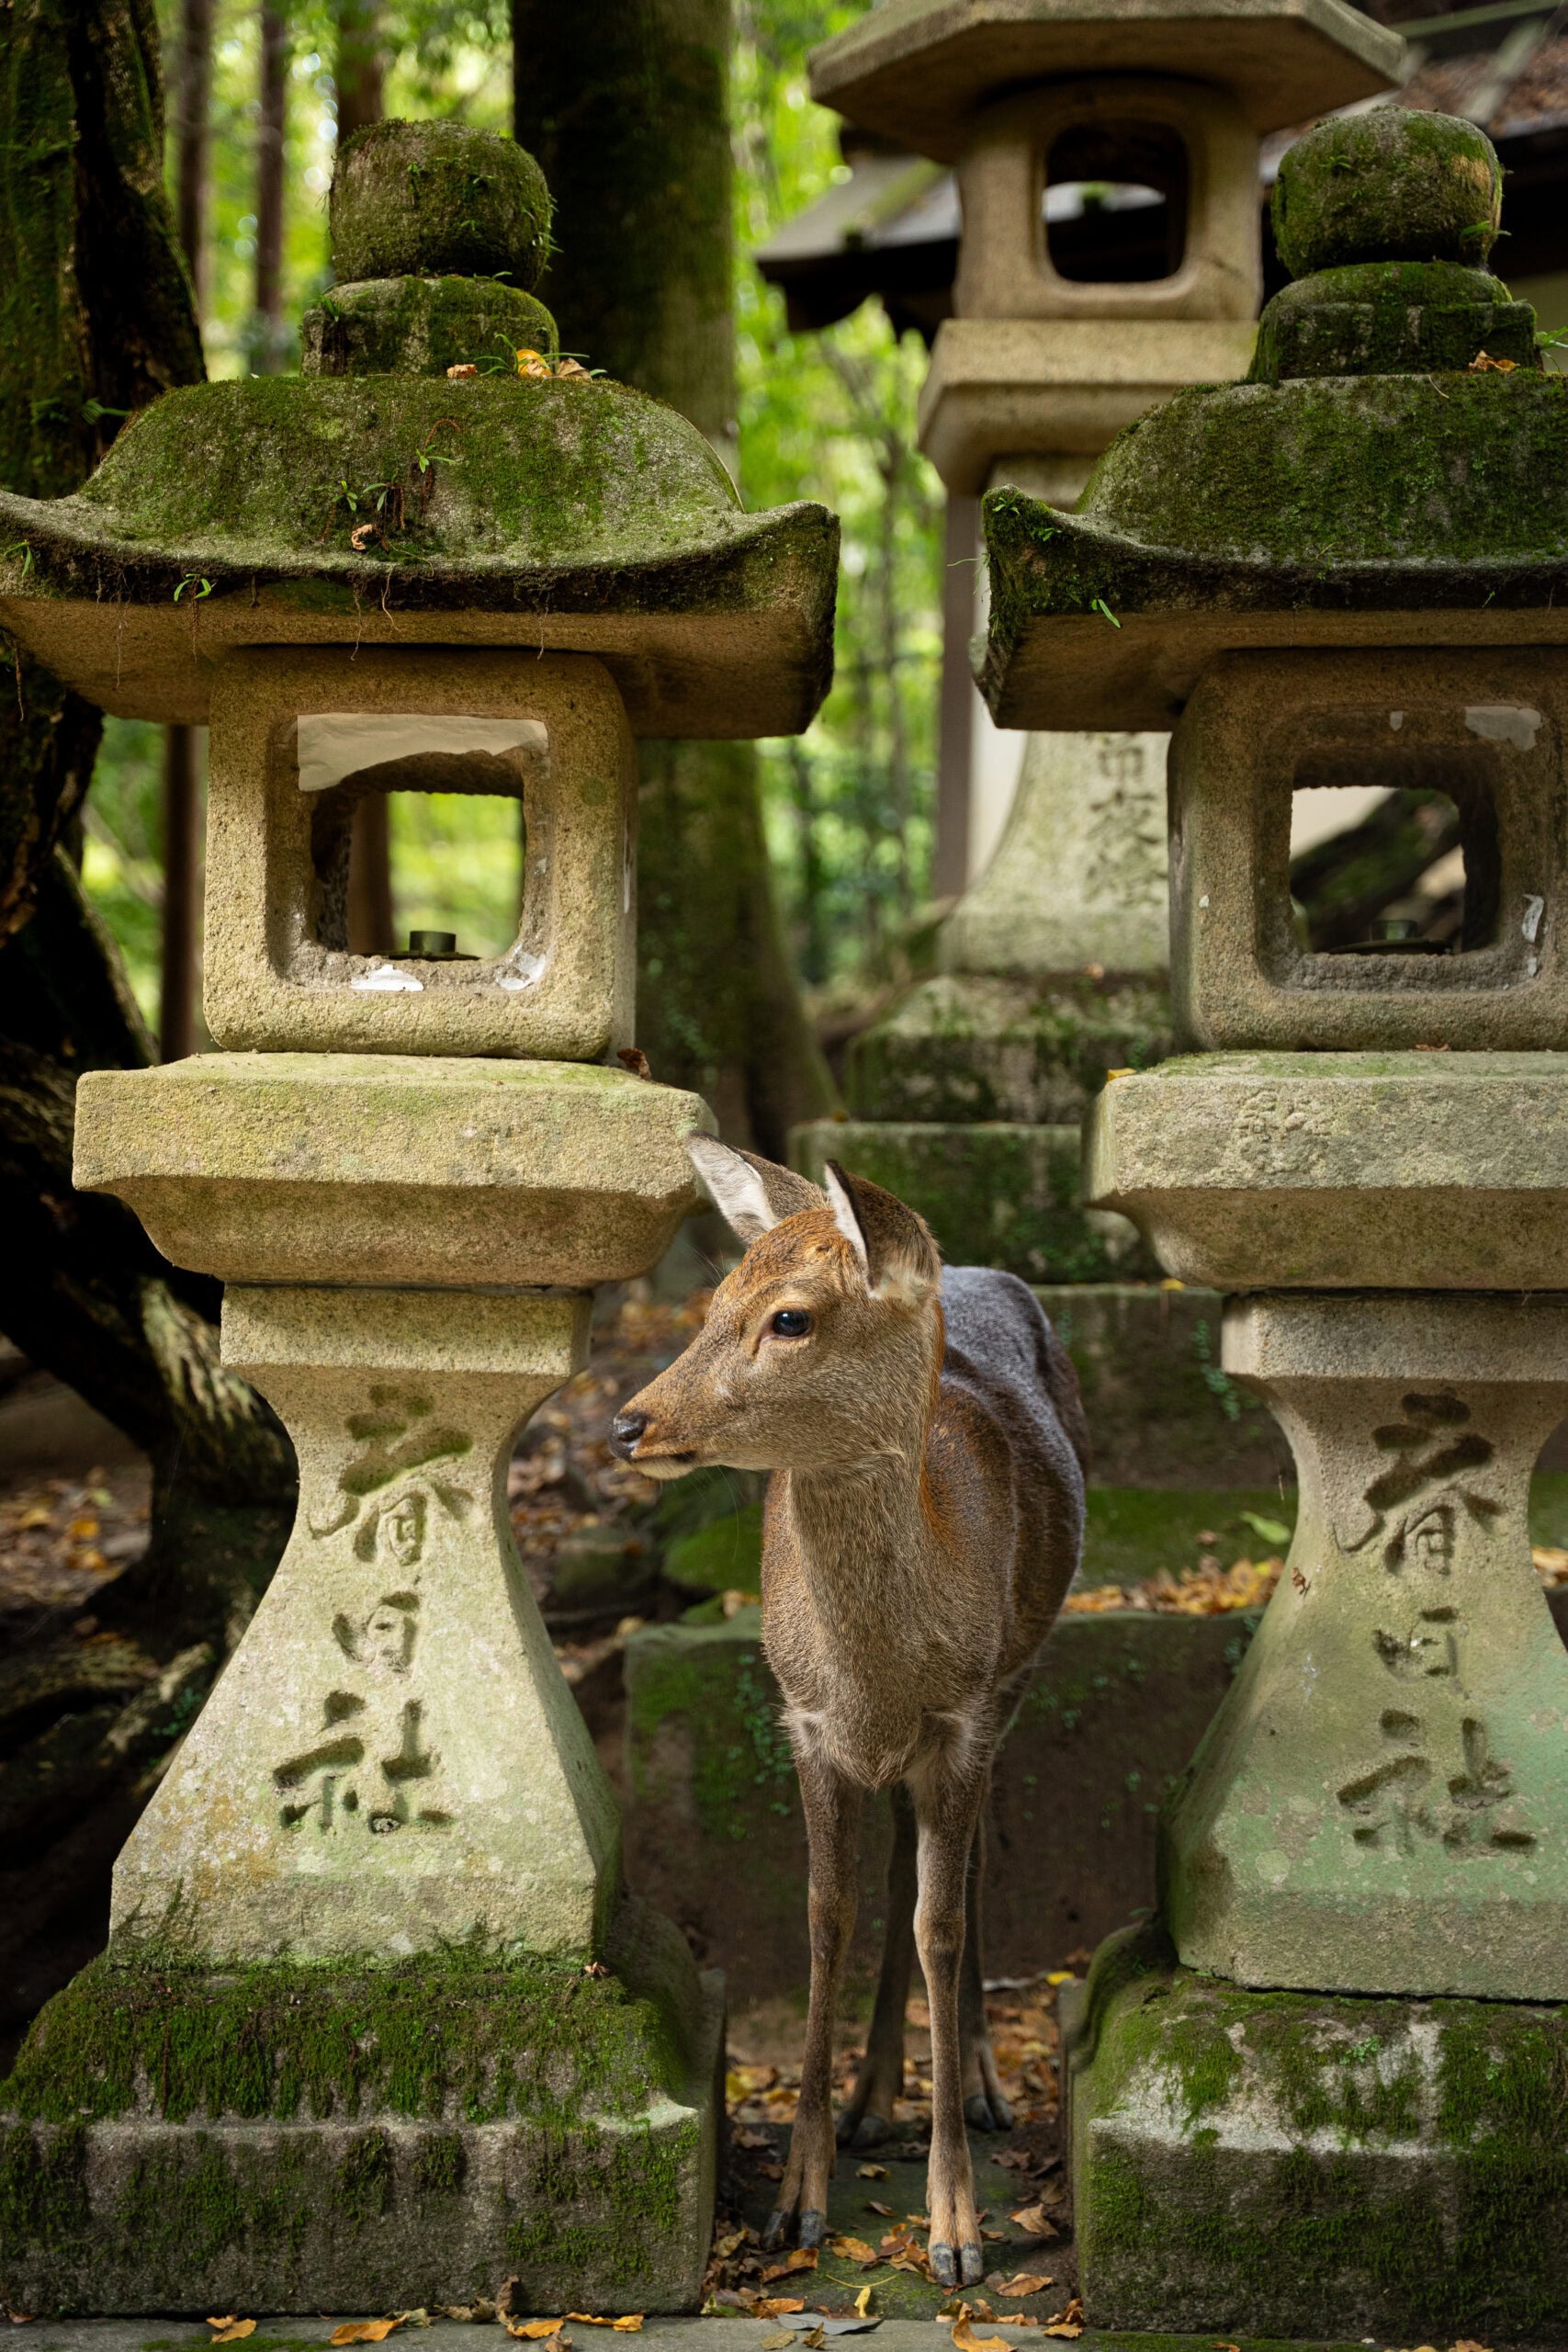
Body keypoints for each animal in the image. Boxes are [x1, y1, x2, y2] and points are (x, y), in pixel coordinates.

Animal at [607, 1137, 1089, 2288]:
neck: (876, 1674)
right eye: (711, 1298)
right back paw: (875, 2099)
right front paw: (798, 2199)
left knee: (967, 1868)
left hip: (1019, 1675)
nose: (628, 1421)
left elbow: (941, 1923)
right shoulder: (809, 1722)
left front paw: (958, 2231)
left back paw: (979, 2087)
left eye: (790, 1317)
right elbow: (830, 1914)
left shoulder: (964, 1718)